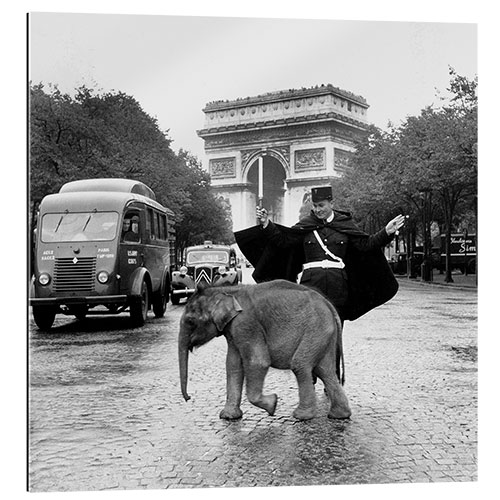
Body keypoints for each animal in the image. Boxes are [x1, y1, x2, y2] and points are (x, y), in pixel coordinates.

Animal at [178, 280, 350, 420]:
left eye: (190, 321)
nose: (188, 398)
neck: (226, 290)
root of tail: (328, 304)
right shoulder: (233, 330)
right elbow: (233, 365)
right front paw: (228, 417)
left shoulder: (246, 324)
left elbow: (258, 362)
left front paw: (273, 404)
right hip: (323, 334)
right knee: (325, 371)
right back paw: (339, 415)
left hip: (315, 329)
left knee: (301, 366)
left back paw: (302, 416)